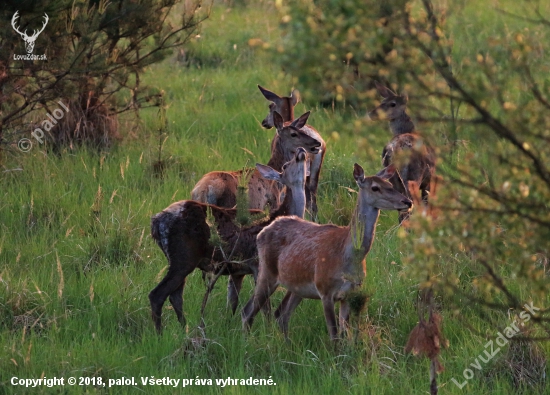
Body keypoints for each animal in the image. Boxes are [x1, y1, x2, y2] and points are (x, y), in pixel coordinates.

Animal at [151, 147, 312, 332]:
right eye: (285, 165)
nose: (301, 150)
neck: (278, 216)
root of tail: (156, 221)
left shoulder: (238, 271)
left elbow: (232, 303)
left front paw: (228, 327)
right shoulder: (257, 264)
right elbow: (265, 308)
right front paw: (268, 332)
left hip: (180, 259)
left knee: (175, 296)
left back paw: (184, 328)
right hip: (184, 256)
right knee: (158, 295)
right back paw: (160, 333)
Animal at [192, 110, 322, 212]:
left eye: (302, 131)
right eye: (293, 134)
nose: (317, 142)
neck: (277, 184)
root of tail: (203, 191)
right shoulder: (273, 202)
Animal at [243, 164, 414, 340]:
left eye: (390, 185)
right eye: (375, 187)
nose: (407, 201)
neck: (348, 256)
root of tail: (263, 231)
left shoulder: (349, 294)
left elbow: (344, 333)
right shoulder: (325, 290)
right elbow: (334, 335)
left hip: (296, 286)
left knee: (281, 314)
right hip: (267, 271)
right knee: (248, 311)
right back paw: (248, 341)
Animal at [368, 82, 438, 224]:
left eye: (392, 103)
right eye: (383, 101)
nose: (371, 113)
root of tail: (393, 149)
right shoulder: (429, 179)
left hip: (394, 179)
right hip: (413, 176)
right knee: (413, 205)